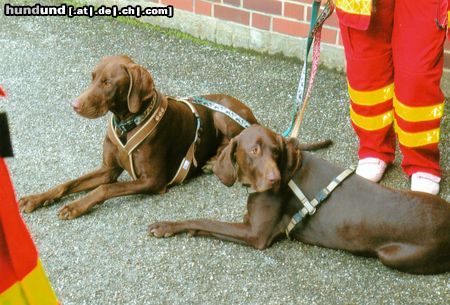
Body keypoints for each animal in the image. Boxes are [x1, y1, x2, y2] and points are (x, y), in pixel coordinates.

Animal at [19, 55, 256, 218]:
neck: (128, 124)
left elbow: (105, 188)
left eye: (108, 83)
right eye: (92, 77)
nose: (74, 105)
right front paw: (37, 198)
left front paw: (76, 206)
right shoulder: (108, 170)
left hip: (223, 116)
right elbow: (68, 183)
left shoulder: (153, 180)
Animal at [149, 123, 450, 274]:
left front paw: (168, 226)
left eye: (276, 151)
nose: (274, 180)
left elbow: (205, 221)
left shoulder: (256, 235)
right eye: (254, 150)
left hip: (391, 256)